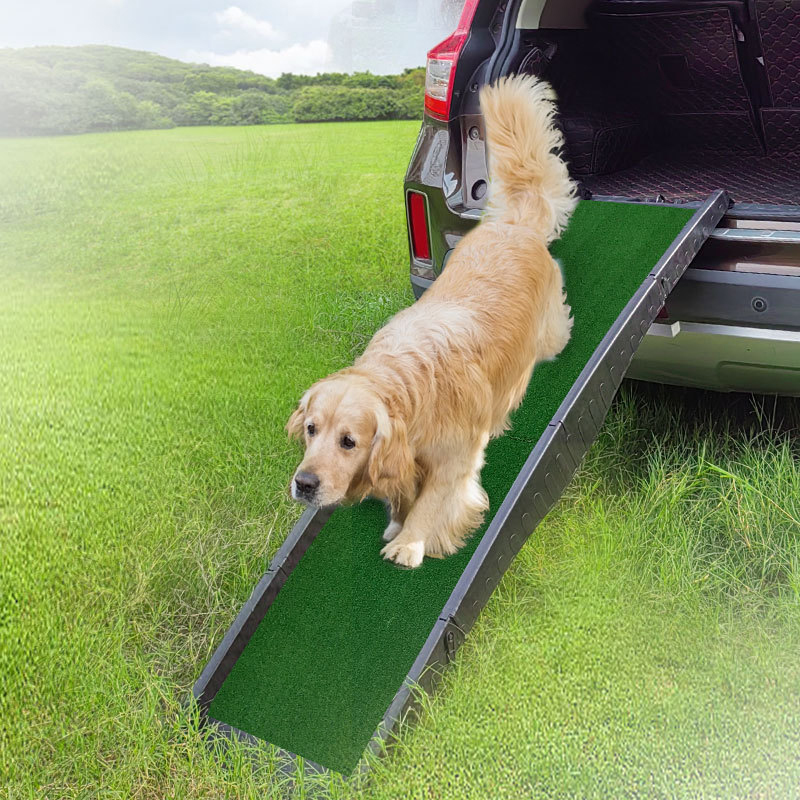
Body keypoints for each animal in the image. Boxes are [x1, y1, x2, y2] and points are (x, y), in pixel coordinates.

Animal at [286, 73, 576, 564]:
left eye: (349, 441)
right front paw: (397, 524)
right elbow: (403, 494)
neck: (410, 391)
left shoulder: (454, 458)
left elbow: (435, 500)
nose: (304, 485)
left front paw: (411, 543)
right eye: (311, 429)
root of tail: (512, 223)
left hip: (548, 331)